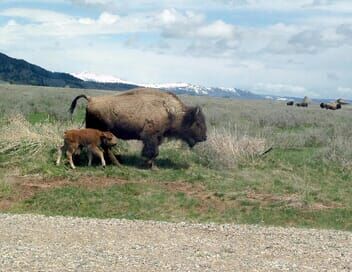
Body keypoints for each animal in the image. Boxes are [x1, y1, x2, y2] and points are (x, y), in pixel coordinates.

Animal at [69, 87, 206, 168]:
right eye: (197, 123)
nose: (204, 137)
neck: (170, 111)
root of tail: (91, 99)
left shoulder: (156, 137)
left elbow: (153, 152)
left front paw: (149, 164)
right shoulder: (151, 136)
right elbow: (153, 152)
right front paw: (150, 166)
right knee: (105, 148)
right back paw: (117, 164)